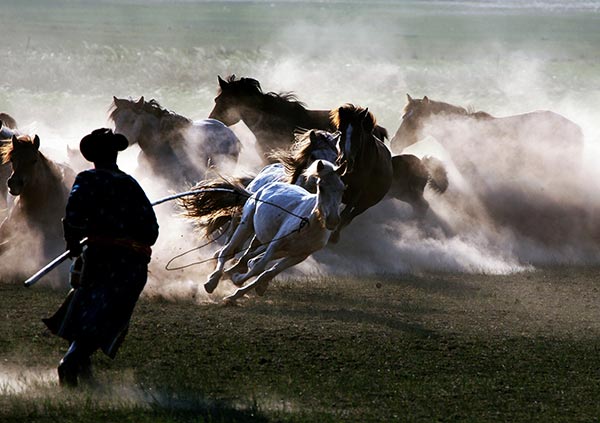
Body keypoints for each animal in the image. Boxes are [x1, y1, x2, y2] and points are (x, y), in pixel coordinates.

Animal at [205, 159, 344, 302]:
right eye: (321, 187)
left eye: (342, 189)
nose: (333, 220)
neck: (310, 223)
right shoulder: (276, 243)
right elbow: (260, 266)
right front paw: (236, 280)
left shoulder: (299, 255)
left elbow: (267, 273)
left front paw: (235, 294)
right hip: (246, 225)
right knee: (227, 251)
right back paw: (212, 282)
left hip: (278, 248)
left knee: (244, 256)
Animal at [328, 104, 394, 243]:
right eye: (340, 131)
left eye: (358, 133)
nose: (346, 160)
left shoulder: (357, 192)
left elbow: (344, 215)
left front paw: (334, 236)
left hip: (365, 204)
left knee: (350, 217)